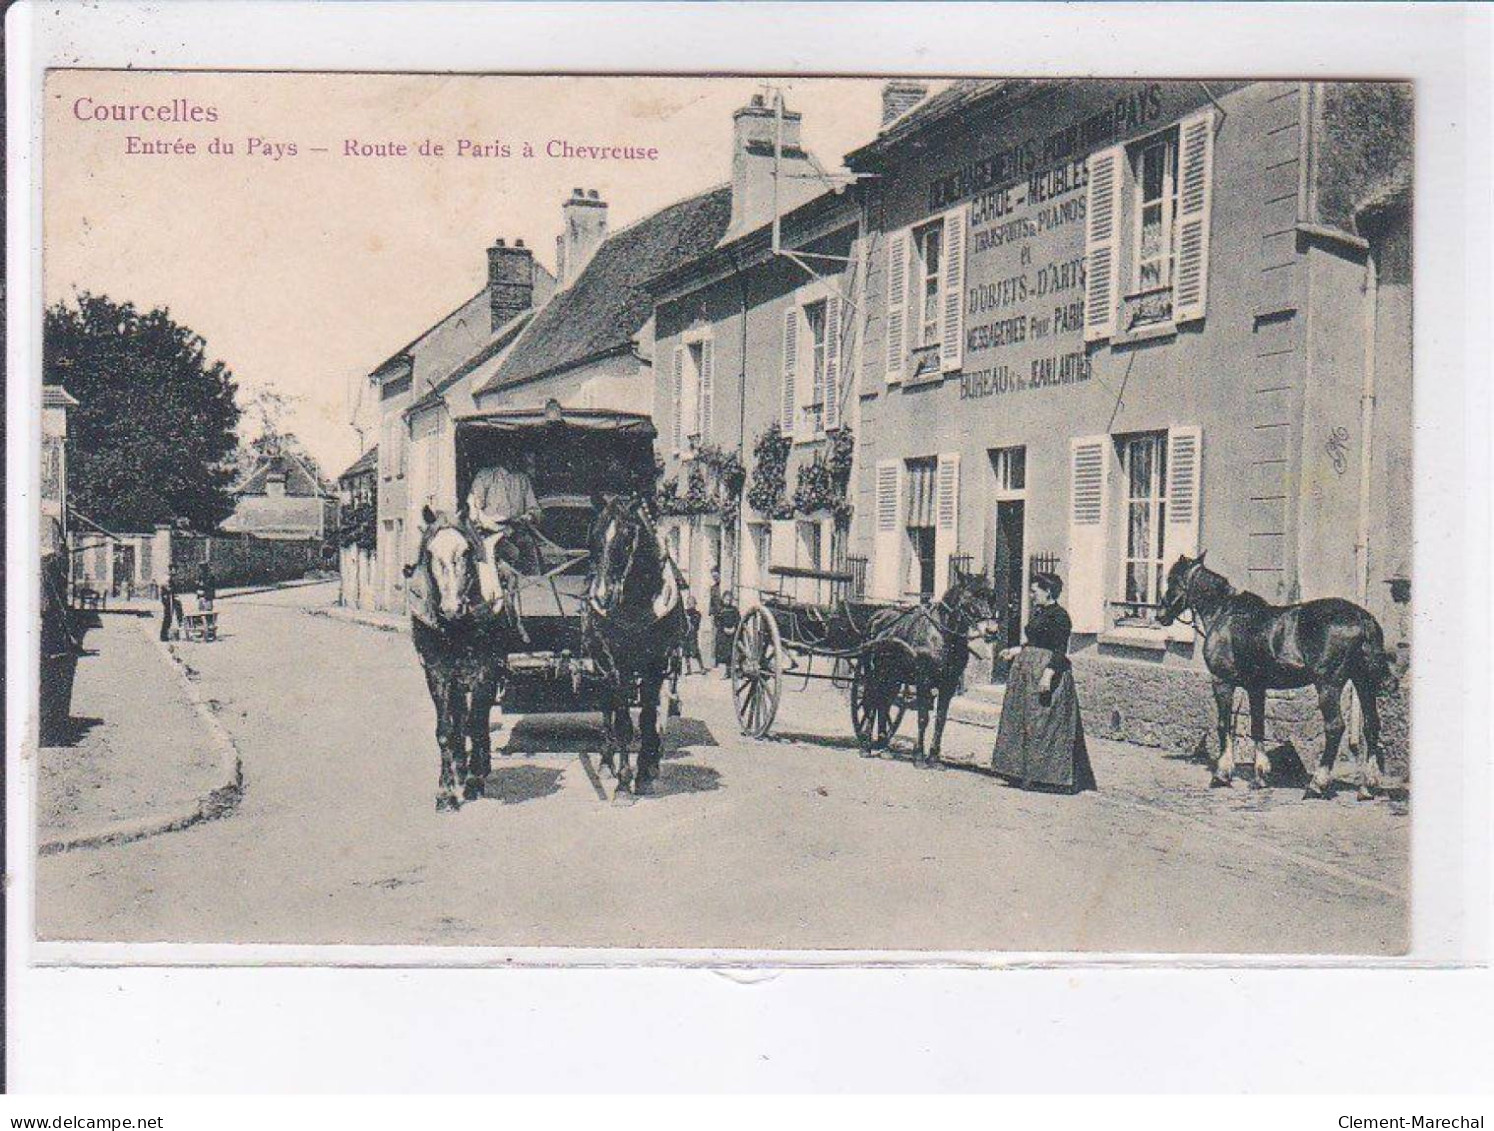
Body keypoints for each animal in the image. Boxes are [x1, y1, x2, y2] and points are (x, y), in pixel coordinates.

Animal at [406, 507, 522, 806]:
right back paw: (460, 766)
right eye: (430, 553)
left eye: (467, 551)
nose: (451, 608)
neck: (457, 627)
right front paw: (446, 793)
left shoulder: (485, 670)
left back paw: (479, 768)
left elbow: (475, 724)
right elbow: (446, 731)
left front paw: (473, 781)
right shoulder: (437, 673)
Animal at [579, 493, 690, 794]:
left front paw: (644, 772)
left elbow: (649, 718)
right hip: (601, 666)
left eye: (628, 537)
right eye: (594, 535)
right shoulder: (616, 665)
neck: (637, 602)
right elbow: (624, 723)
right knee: (608, 707)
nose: (601, 596)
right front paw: (623, 783)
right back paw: (607, 762)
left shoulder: (657, 663)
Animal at [860, 567, 997, 761]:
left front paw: (933, 756)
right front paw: (919, 755)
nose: (991, 631)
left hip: (893, 677)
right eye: (971, 597)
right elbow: (923, 717)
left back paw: (884, 746)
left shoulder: (949, 684)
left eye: (991, 596)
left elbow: (940, 719)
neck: (943, 636)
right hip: (876, 674)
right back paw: (866, 745)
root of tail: (878, 616)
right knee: (873, 701)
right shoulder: (923, 681)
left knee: (883, 703)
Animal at [1147, 552, 1392, 800]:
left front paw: (1222, 774)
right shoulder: (1256, 687)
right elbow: (1257, 727)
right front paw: (1260, 775)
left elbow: (1223, 724)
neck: (1223, 612)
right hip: (1363, 683)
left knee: (1335, 728)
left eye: (1172, 579)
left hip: (1328, 685)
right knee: (1371, 725)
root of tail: (1362, 618)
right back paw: (1368, 785)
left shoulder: (1222, 682)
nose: (1160, 615)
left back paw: (1317, 784)